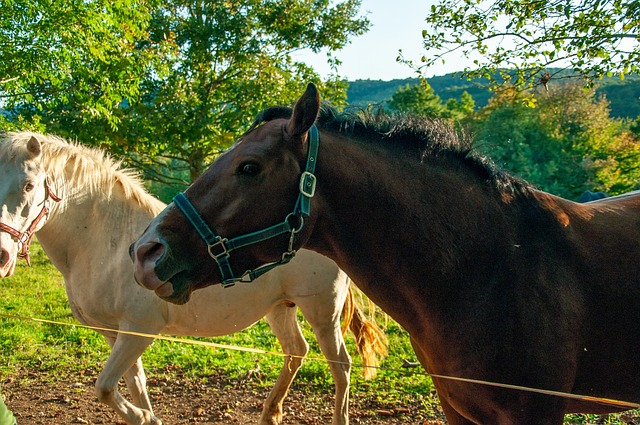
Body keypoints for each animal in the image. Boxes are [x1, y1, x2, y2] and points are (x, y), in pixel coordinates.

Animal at [0, 131, 384, 422]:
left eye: (29, 186)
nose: (2, 255)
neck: (105, 239)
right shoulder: (116, 334)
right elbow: (134, 384)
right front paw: (147, 416)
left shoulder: (138, 329)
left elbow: (105, 388)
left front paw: (144, 416)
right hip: (280, 308)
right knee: (296, 351)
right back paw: (270, 413)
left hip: (322, 314)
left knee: (340, 366)